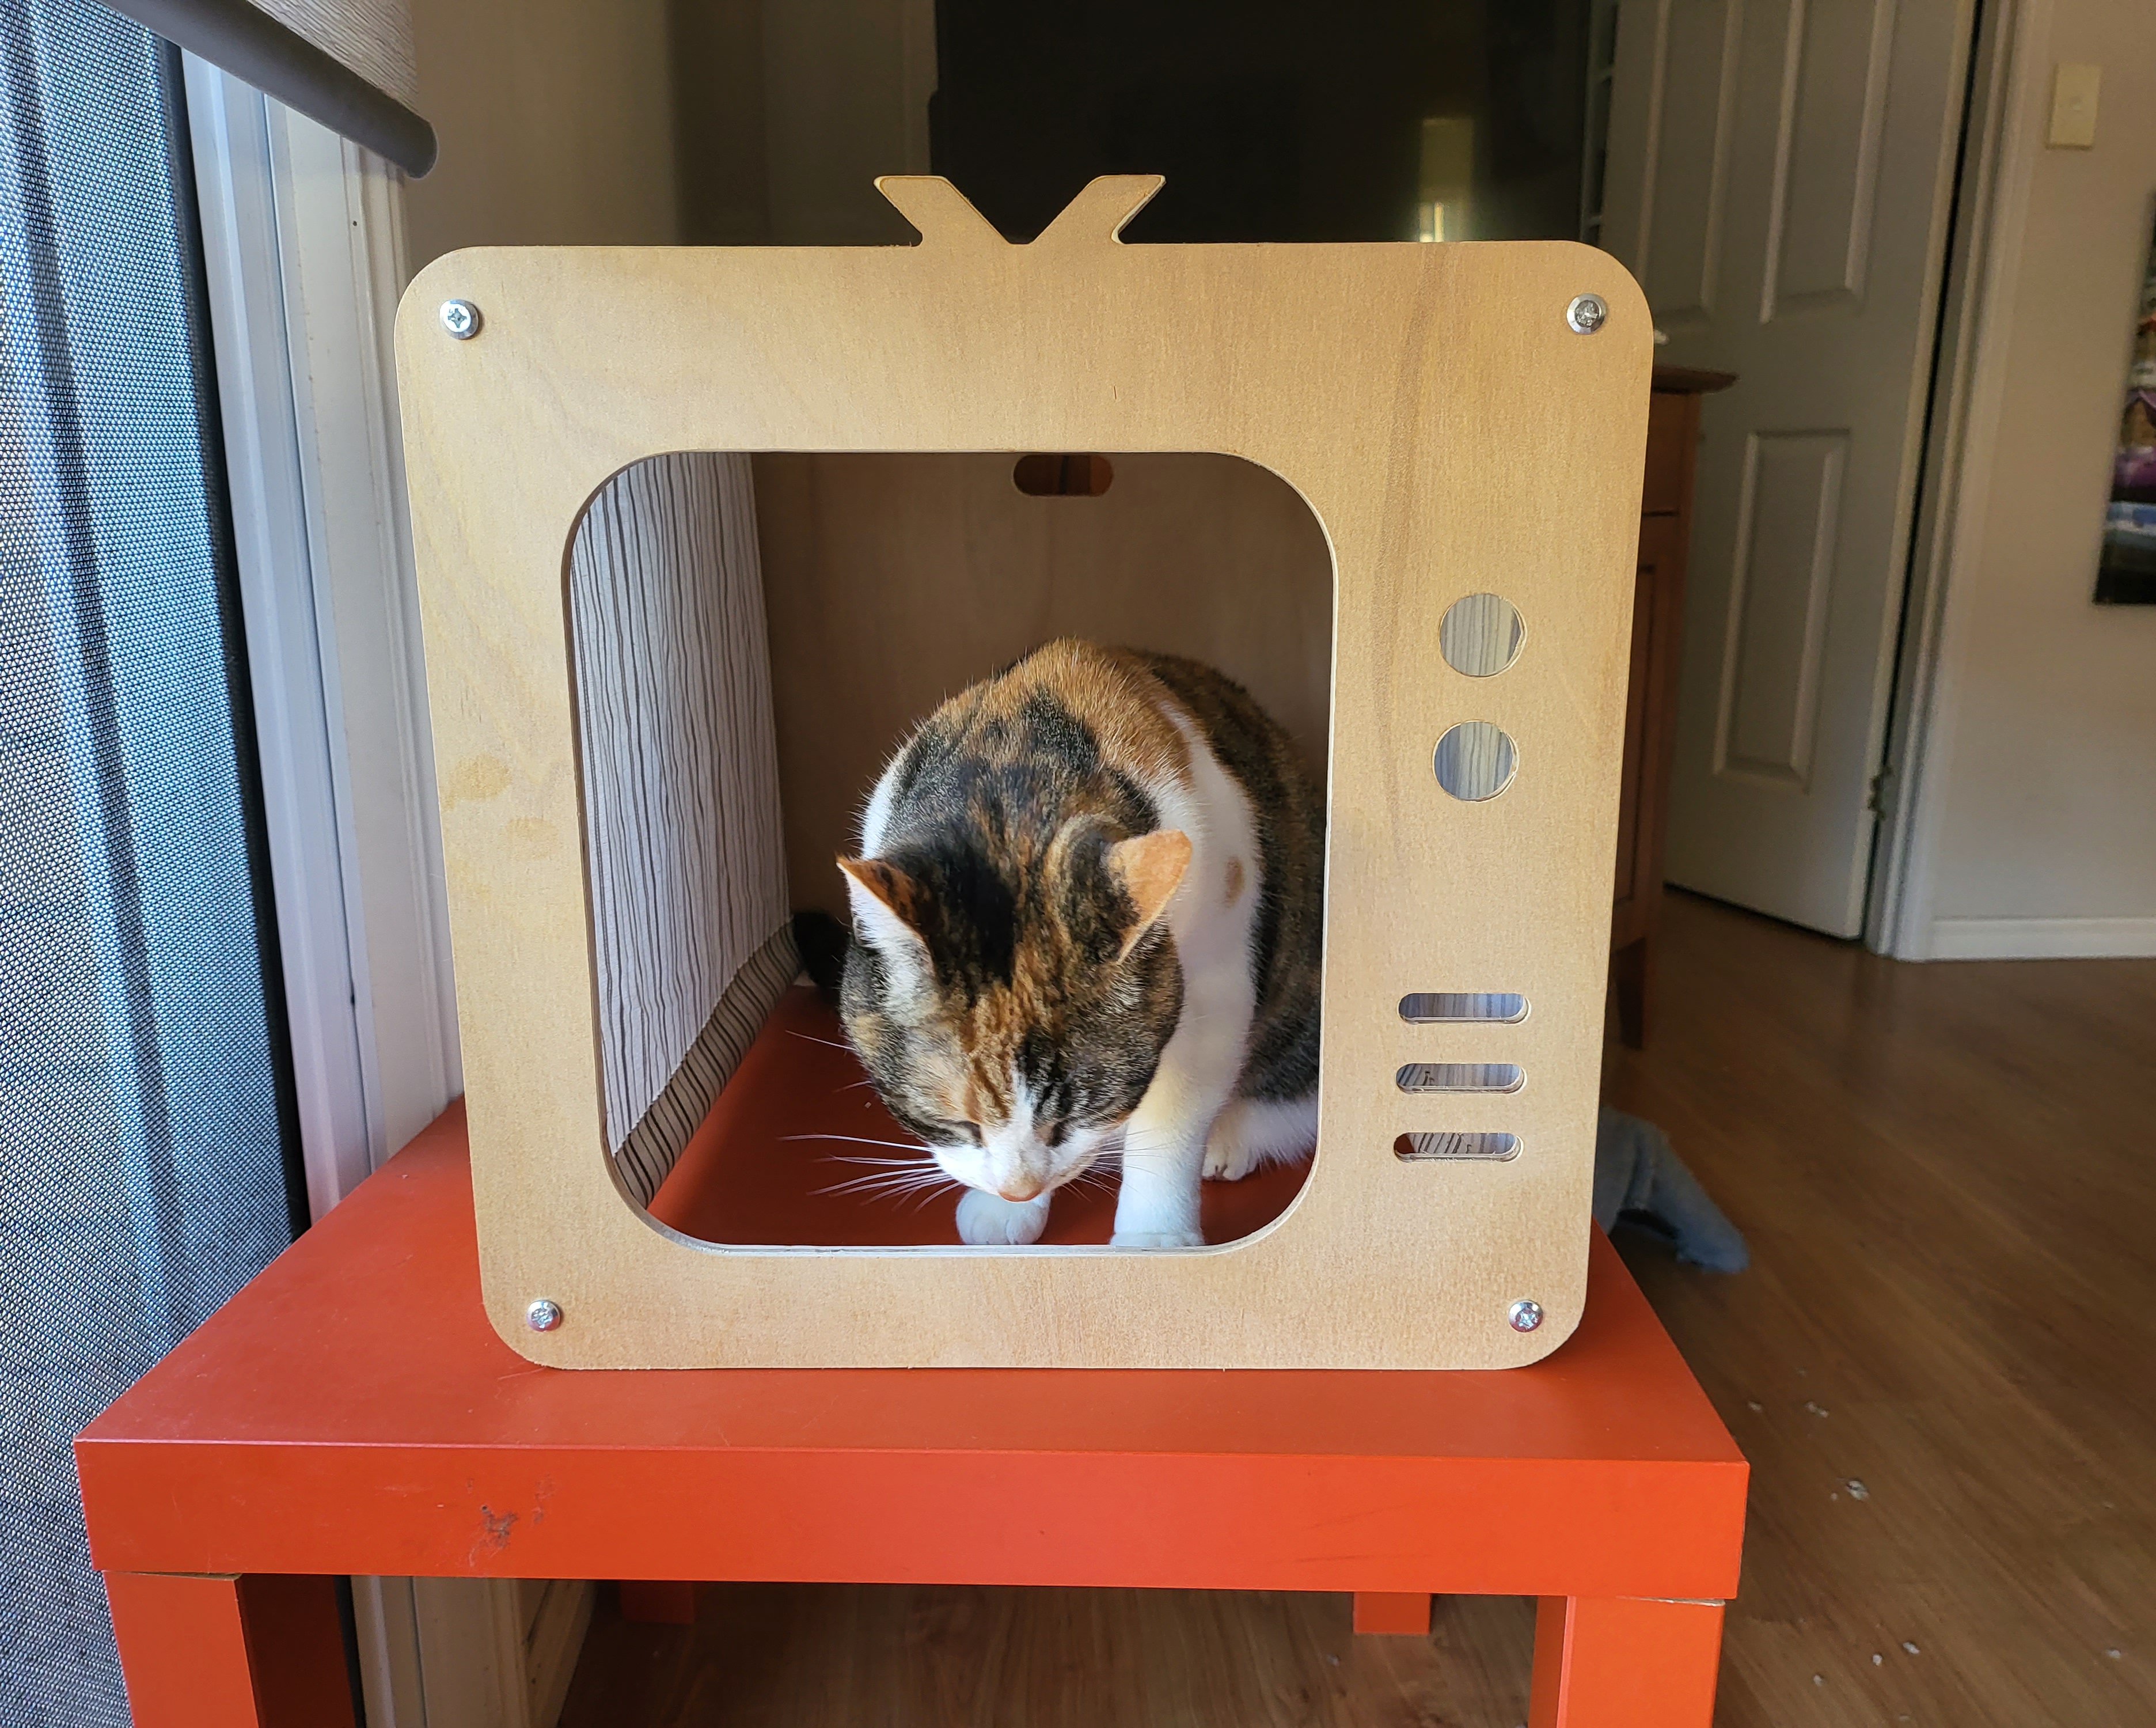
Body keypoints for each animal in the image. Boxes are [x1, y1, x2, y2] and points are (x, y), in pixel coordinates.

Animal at [832, 638, 1323, 1247]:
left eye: (1073, 1116)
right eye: (962, 1123)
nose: (1018, 1188)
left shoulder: (1214, 988)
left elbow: (1171, 1125)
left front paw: (1153, 1240)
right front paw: (1005, 1212)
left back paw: (1230, 1140)